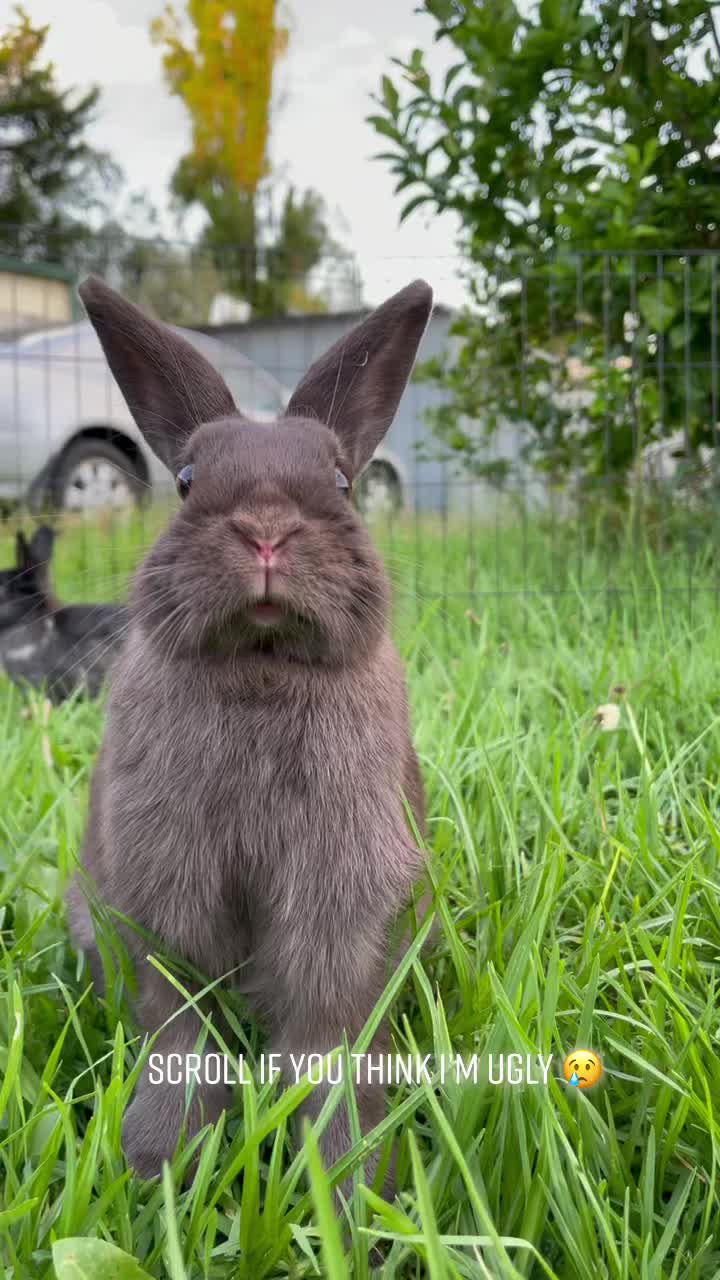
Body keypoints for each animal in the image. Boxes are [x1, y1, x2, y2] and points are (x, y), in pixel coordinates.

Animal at [65, 273, 433, 1192]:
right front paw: (159, 1163)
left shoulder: (340, 906)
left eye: (342, 482)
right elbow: (179, 1025)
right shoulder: (163, 894)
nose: (266, 528)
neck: (262, 668)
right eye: (187, 479)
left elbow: (325, 1039)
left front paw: (348, 1184)